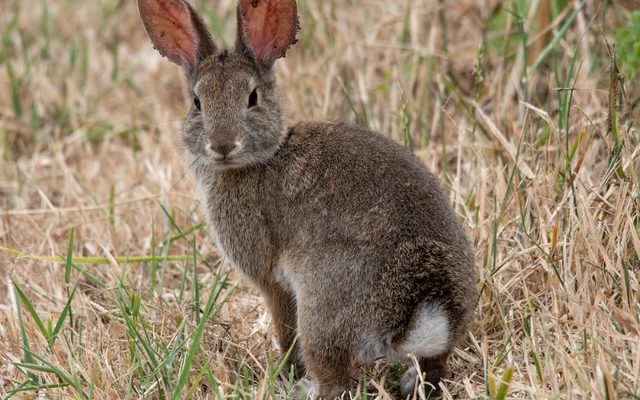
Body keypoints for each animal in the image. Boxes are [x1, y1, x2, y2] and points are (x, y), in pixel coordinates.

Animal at [138, 0, 477, 398]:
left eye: (252, 97)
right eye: (197, 103)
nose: (221, 145)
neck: (261, 159)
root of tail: (420, 309)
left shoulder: (270, 280)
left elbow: (285, 331)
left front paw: (284, 371)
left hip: (322, 309)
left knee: (335, 378)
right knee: (433, 368)